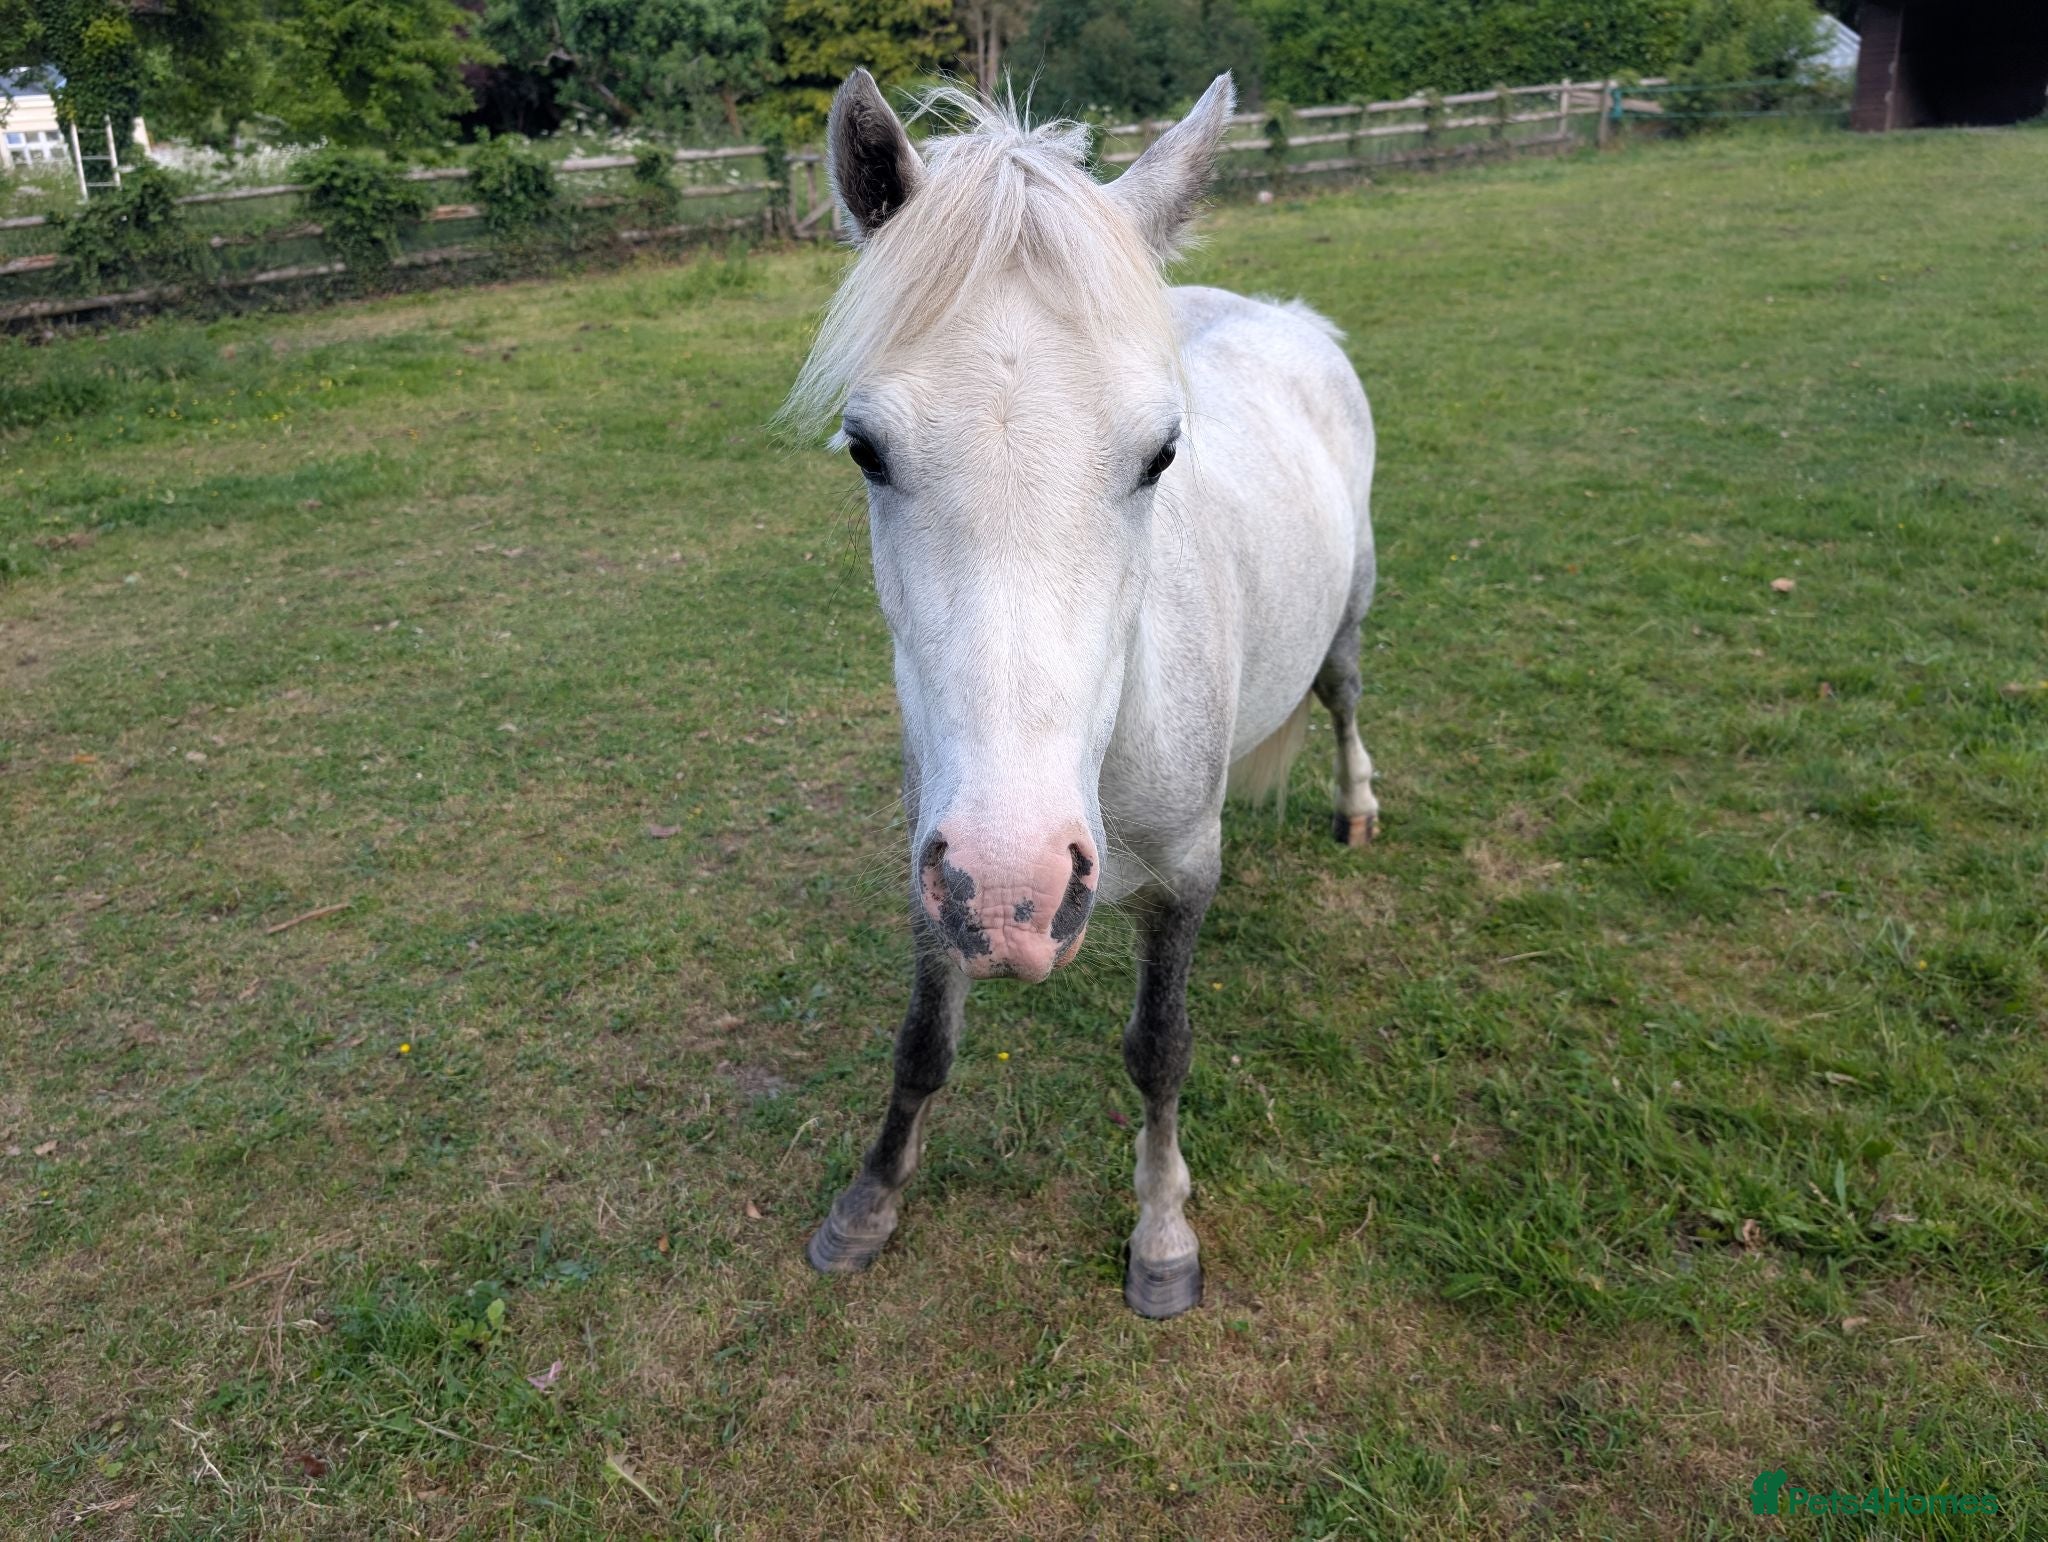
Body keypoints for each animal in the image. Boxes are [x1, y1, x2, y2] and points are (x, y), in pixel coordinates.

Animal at [785, 69, 1380, 1318]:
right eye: (865, 449)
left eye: (1160, 454)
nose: (1014, 891)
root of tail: (1288, 317)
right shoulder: (933, 868)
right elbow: (921, 1043)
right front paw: (867, 1204)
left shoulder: (1179, 878)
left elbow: (1159, 1048)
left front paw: (1161, 1234)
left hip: (1348, 609)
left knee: (1344, 693)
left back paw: (1356, 805)